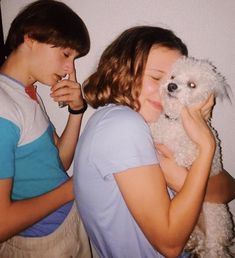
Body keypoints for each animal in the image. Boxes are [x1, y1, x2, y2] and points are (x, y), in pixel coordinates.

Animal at [150, 57, 234, 258]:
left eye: (192, 85)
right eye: (173, 76)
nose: (171, 86)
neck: (175, 120)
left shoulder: (197, 148)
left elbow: (184, 151)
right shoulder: (158, 129)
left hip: (216, 226)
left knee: (214, 250)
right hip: (193, 229)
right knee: (198, 242)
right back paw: (191, 244)